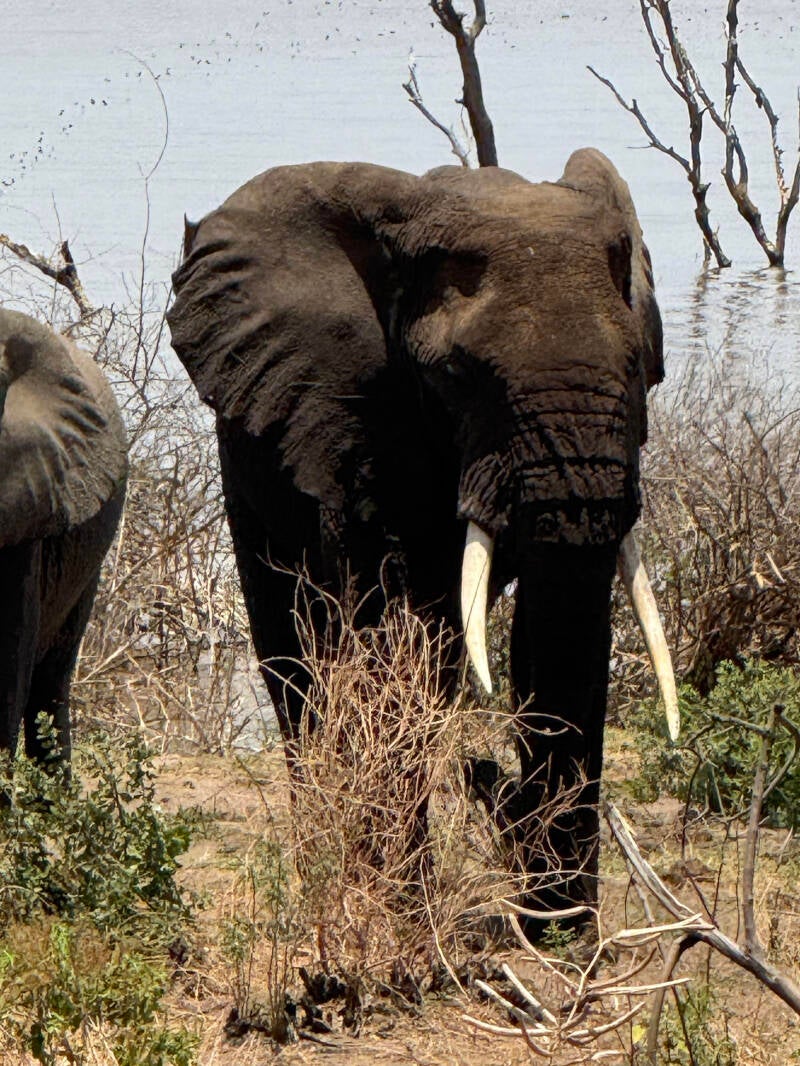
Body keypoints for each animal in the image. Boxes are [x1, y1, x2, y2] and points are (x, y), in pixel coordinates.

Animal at [168, 148, 677, 915]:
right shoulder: (355, 412)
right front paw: (397, 908)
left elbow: (550, 629)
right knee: (289, 651)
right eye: (457, 375)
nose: (487, 777)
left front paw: (559, 925)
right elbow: (385, 629)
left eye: (638, 367)